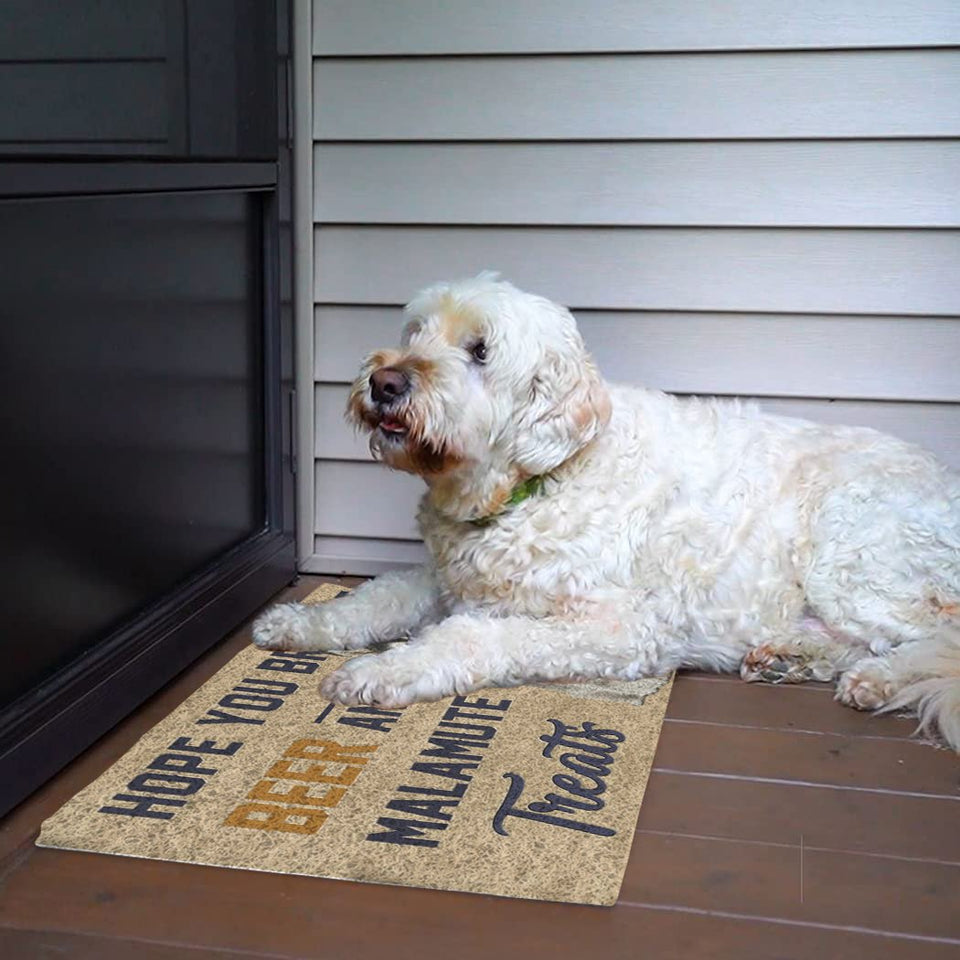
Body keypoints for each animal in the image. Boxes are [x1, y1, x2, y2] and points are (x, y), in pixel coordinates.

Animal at [253, 274, 960, 748]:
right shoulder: (452, 580)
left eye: (480, 350)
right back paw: (789, 656)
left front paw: (380, 670)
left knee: (935, 638)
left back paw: (880, 680)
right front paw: (299, 624)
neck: (536, 484)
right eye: (415, 332)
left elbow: (474, 636)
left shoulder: (621, 628)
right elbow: (380, 596)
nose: (384, 382)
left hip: (855, 554)